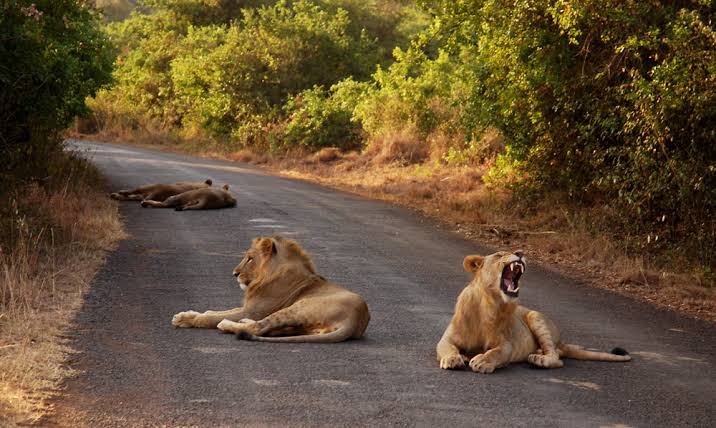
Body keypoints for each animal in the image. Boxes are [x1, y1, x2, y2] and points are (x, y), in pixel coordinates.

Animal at [171, 235, 370, 343]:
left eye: (250, 258)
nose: (234, 273)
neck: (267, 275)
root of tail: (356, 320)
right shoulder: (248, 307)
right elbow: (216, 311)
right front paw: (188, 314)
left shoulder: (254, 310)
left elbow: (211, 318)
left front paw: (186, 319)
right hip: (304, 326)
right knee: (270, 329)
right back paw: (241, 322)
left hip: (298, 308)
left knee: (259, 327)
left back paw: (227, 324)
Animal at [437, 250, 631, 372]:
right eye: (499, 254)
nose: (520, 252)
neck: (489, 303)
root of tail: (561, 342)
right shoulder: (447, 338)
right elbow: (447, 347)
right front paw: (453, 359)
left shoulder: (506, 343)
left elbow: (497, 352)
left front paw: (483, 361)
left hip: (536, 316)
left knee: (556, 358)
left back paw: (539, 359)